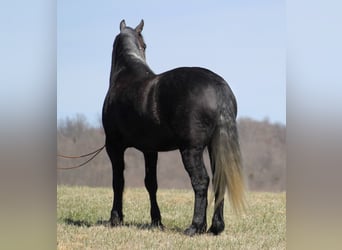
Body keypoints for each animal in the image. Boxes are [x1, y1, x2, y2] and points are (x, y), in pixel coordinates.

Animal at [102, 20, 246, 236]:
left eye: (145, 45)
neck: (124, 77)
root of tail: (219, 88)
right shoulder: (150, 150)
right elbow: (151, 183)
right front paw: (156, 221)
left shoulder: (114, 146)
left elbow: (118, 182)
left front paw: (115, 219)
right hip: (214, 146)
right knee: (219, 179)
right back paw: (215, 227)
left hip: (190, 150)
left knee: (201, 181)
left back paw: (195, 226)